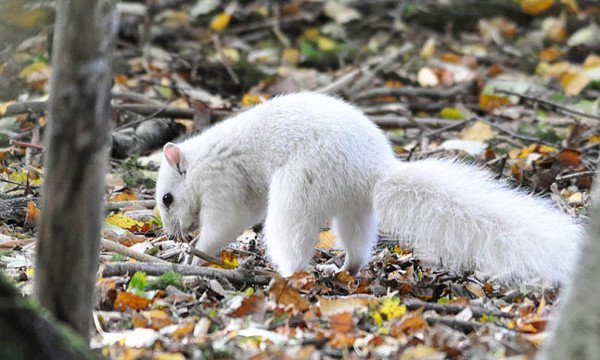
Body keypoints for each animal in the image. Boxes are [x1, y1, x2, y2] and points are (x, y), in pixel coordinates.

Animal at [155, 91, 580, 282]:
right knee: (358, 242)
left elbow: (222, 226)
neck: (201, 161)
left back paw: (289, 273)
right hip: (354, 208)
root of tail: (372, 172)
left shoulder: (223, 186)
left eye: (167, 198)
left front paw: (195, 256)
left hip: (301, 185)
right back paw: (344, 267)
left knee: (290, 234)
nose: (172, 234)